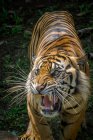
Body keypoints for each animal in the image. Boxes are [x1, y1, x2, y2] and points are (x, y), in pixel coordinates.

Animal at [20, 11, 90, 140]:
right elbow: (43, 131)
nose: (38, 88)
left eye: (56, 73)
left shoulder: (74, 114)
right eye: (37, 72)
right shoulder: (34, 109)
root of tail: (57, 11)